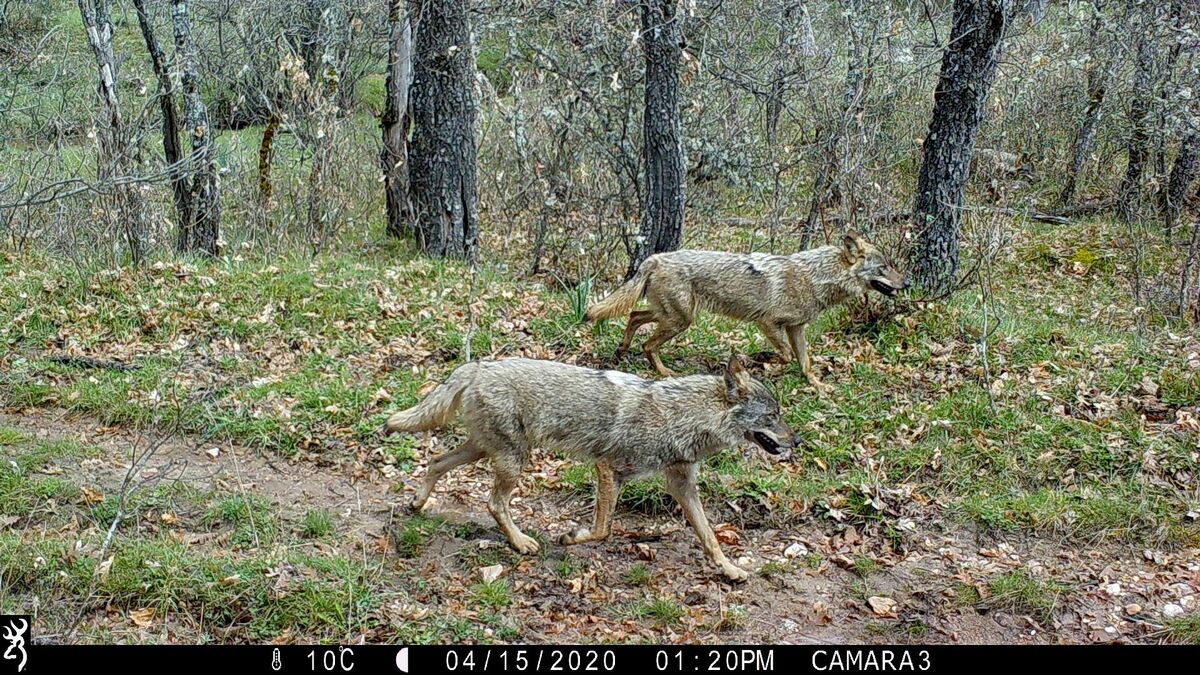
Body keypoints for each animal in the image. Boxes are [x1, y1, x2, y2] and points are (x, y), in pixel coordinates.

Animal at [384, 355, 796, 581]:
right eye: (773, 416)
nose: (798, 441)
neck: (682, 418)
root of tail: (479, 365)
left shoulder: (681, 486)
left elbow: (710, 537)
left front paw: (730, 570)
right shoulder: (608, 470)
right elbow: (601, 530)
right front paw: (570, 538)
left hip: (486, 451)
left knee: (436, 462)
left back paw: (417, 503)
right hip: (512, 460)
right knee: (493, 503)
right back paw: (521, 543)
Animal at [585, 230, 902, 386]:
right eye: (884, 268)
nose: (908, 282)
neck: (813, 277)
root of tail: (654, 258)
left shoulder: (796, 328)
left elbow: (804, 361)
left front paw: (816, 384)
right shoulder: (768, 323)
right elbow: (785, 356)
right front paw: (762, 363)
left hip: (674, 316)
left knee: (633, 316)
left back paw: (621, 350)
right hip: (680, 321)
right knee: (647, 344)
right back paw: (663, 373)